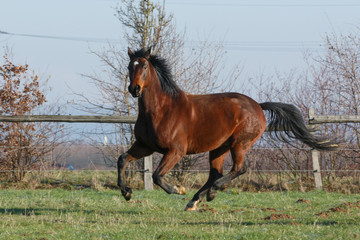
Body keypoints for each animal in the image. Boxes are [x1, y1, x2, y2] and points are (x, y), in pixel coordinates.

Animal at [117, 47, 338, 210]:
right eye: (129, 66)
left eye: (144, 66)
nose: (134, 89)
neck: (162, 110)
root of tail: (258, 106)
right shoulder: (145, 146)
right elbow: (122, 159)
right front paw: (126, 192)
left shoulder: (176, 151)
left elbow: (156, 175)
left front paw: (178, 189)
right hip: (219, 147)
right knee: (215, 173)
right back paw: (195, 200)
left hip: (240, 144)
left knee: (237, 169)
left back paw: (209, 193)